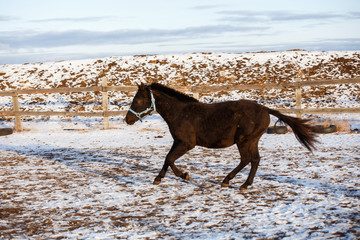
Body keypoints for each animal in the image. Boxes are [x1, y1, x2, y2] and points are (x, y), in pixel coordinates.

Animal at [124, 82, 318, 189]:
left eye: (138, 100)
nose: (127, 119)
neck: (181, 113)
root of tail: (265, 109)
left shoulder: (186, 143)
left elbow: (170, 159)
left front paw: (184, 175)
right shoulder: (178, 141)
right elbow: (167, 159)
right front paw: (158, 178)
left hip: (244, 141)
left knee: (247, 159)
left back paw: (228, 181)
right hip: (251, 141)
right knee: (255, 160)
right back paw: (244, 184)